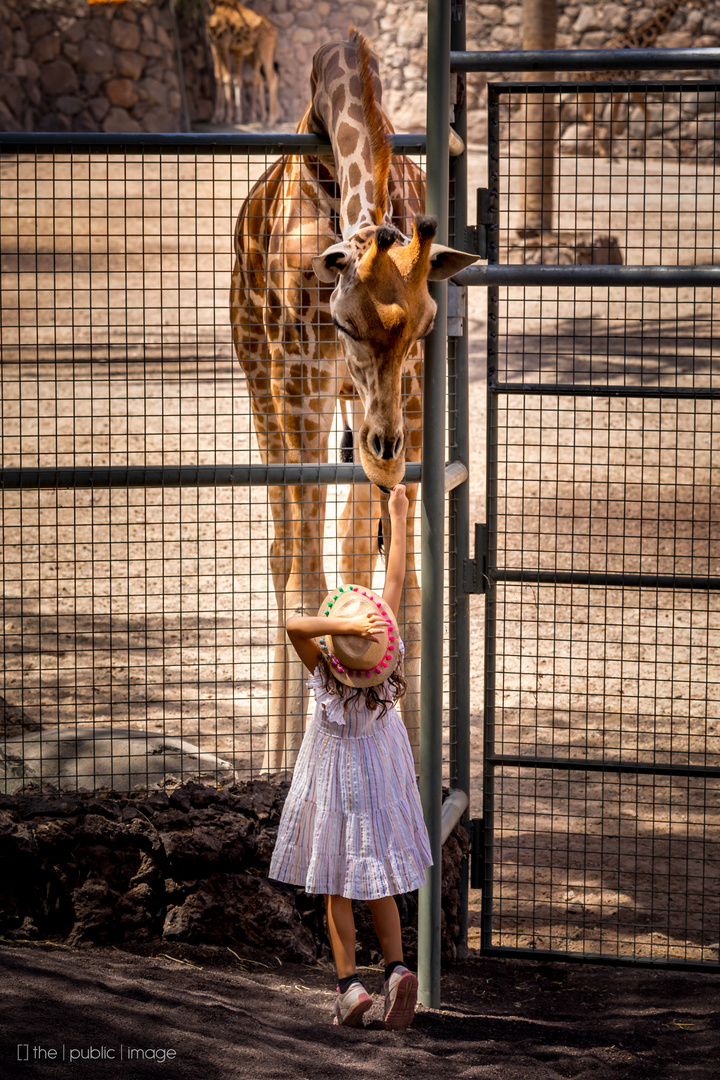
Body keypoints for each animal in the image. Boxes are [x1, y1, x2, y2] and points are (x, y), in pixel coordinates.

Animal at [232, 31, 479, 777]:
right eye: (343, 323)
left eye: (426, 325)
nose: (387, 453)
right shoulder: (302, 381)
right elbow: (310, 577)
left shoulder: (409, 399)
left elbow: (400, 584)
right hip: (261, 380)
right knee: (283, 552)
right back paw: (274, 762)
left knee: (338, 544)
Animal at [569, 0, 708, 157]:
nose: (706, 4)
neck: (640, 41)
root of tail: (573, 75)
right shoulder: (626, 83)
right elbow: (617, 117)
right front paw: (613, 153)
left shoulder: (628, 84)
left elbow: (644, 113)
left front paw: (640, 152)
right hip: (587, 93)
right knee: (588, 116)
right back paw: (603, 152)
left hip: (586, 93)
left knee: (580, 113)